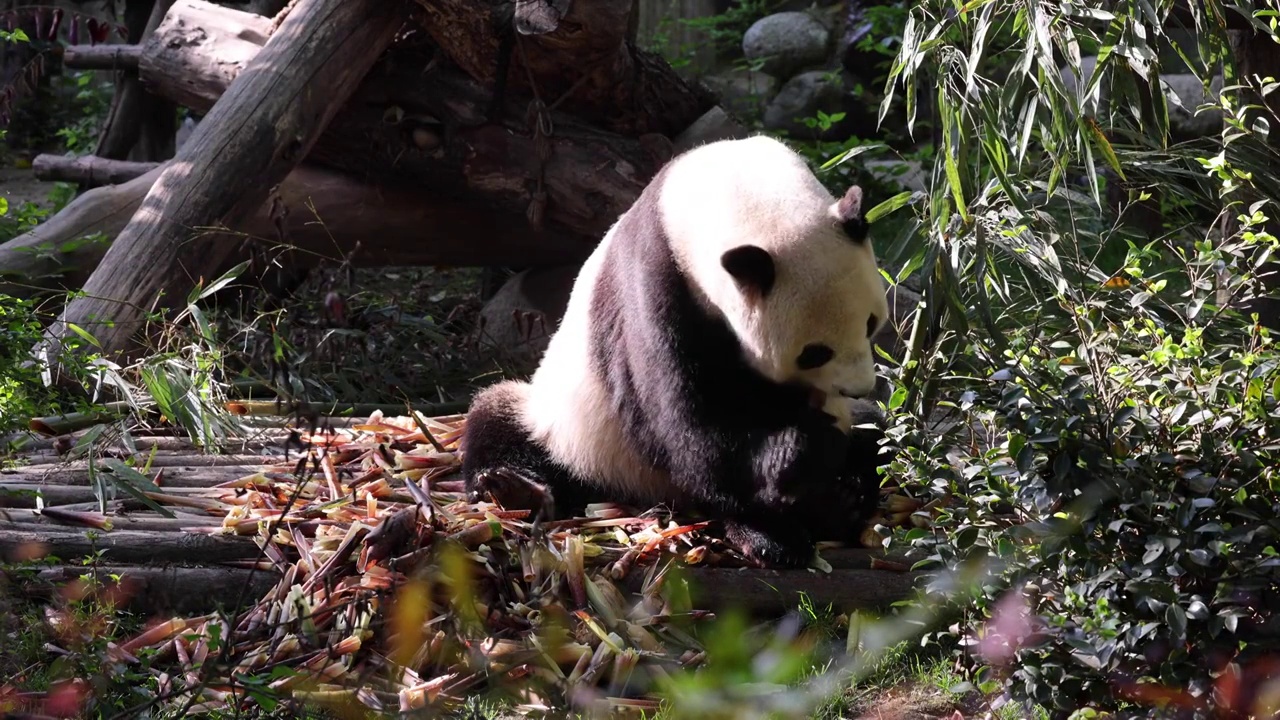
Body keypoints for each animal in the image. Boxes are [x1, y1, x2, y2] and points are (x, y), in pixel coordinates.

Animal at [460, 131, 890, 563]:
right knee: (499, 420)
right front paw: (805, 451)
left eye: (871, 323)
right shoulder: (654, 284)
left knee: (874, 433)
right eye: (814, 351)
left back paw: (841, 500)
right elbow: (684, 421)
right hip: (570, 430)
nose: (858, 388)